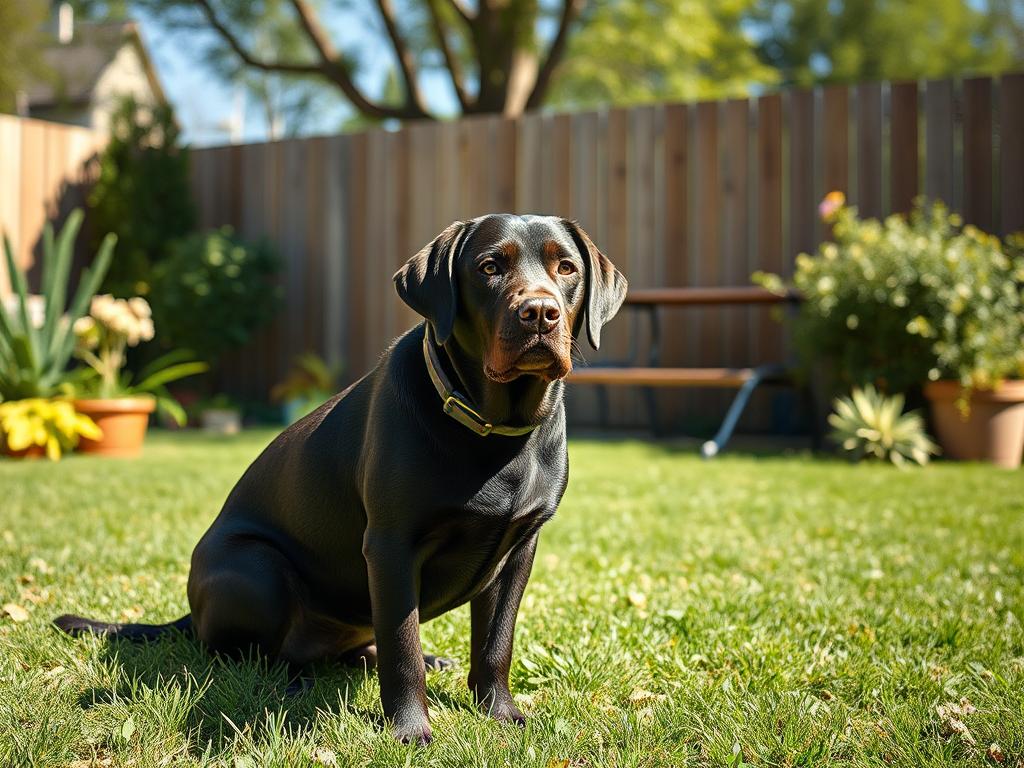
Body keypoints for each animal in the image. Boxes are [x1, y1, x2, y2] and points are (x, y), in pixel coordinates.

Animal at [61, 214, 630, 741]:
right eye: (489, 267)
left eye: (567, 268)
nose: (540, 312)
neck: (495, 433)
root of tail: (188, 611)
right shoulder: (391, 545)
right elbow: (402, 648)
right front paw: (409, 730)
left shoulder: (520, 548)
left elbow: (495, 643)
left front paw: (500, 713)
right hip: (257, 569)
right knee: (246, 655)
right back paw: (294, 682)